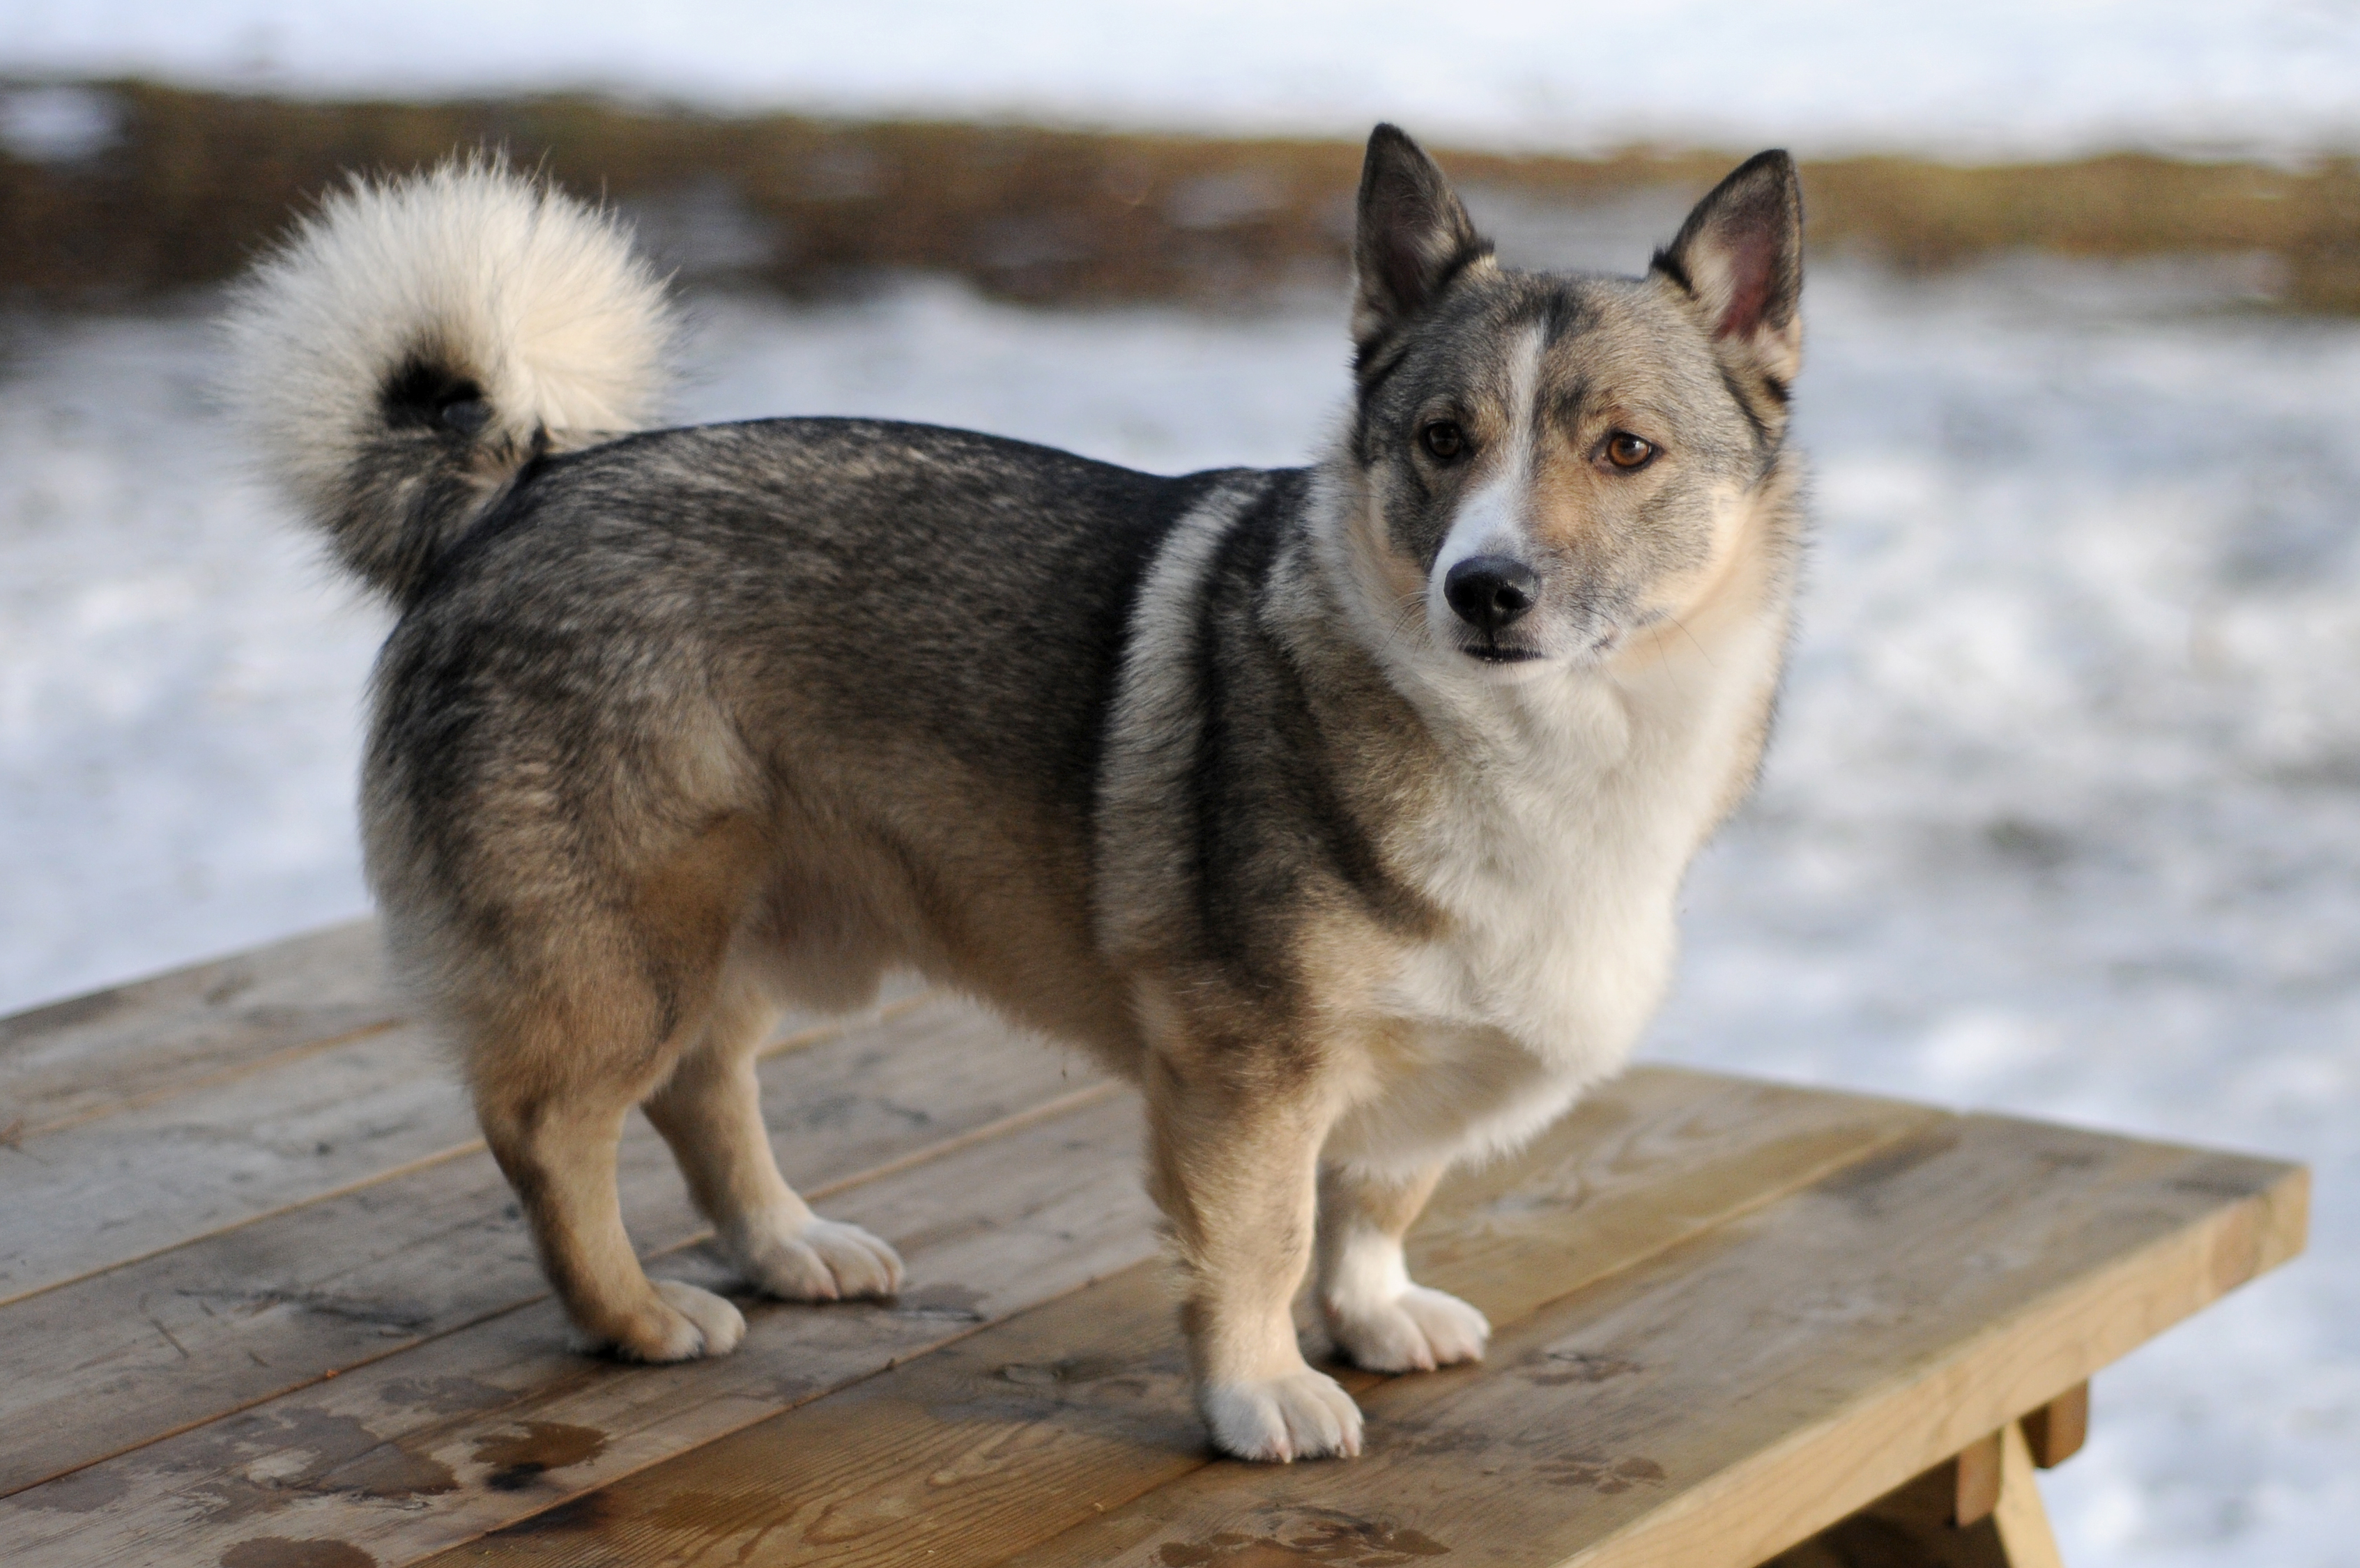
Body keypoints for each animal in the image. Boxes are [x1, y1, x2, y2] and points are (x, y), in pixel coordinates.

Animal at [225, 128, 1802, 1461]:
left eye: (1625, 451)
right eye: (1441, 441)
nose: (1483, 590)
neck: (1545, 739)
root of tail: (520, 488)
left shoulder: (1395, 1072)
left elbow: (1375, 1196)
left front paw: (1370, 1314)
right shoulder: (1249, 1069)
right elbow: (1263, 1240)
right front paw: (1259, 1391)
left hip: (735, 930)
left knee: (703, 1088)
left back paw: (787, 1244)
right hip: (625, 950)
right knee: (553, 1130)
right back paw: (637, 1318)